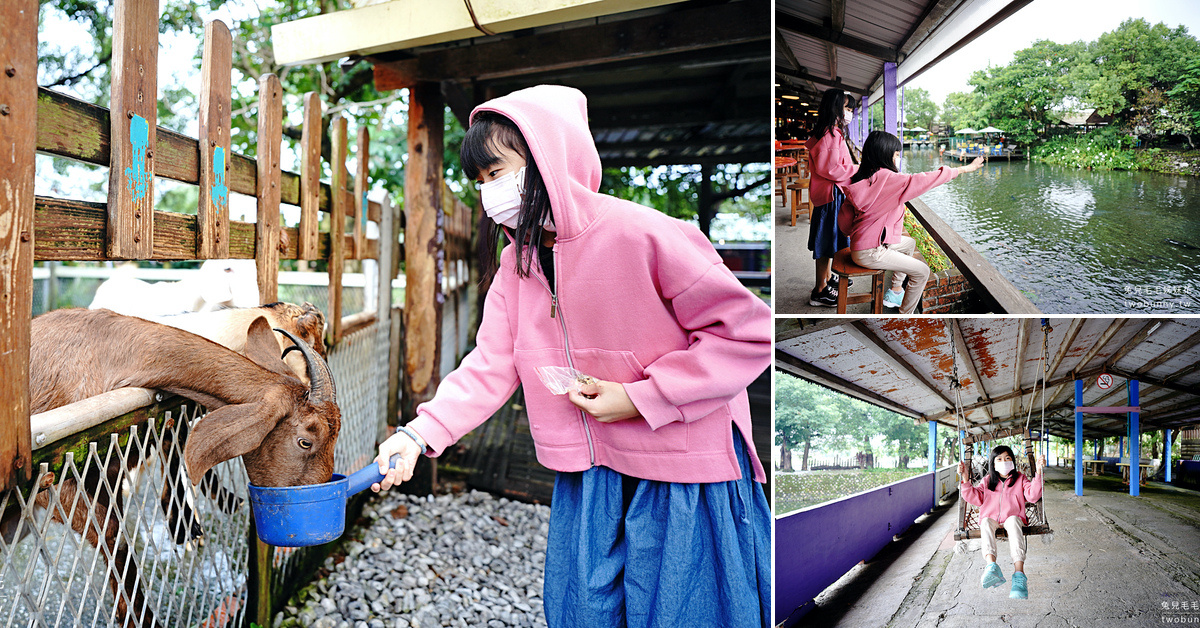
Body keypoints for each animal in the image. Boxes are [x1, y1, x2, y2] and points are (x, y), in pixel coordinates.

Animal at [8, 309, 343, 628]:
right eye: (305, 441)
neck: (105, 350)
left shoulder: (112, 472)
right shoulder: (53, 481)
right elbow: (115, 537)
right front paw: (141, 619)